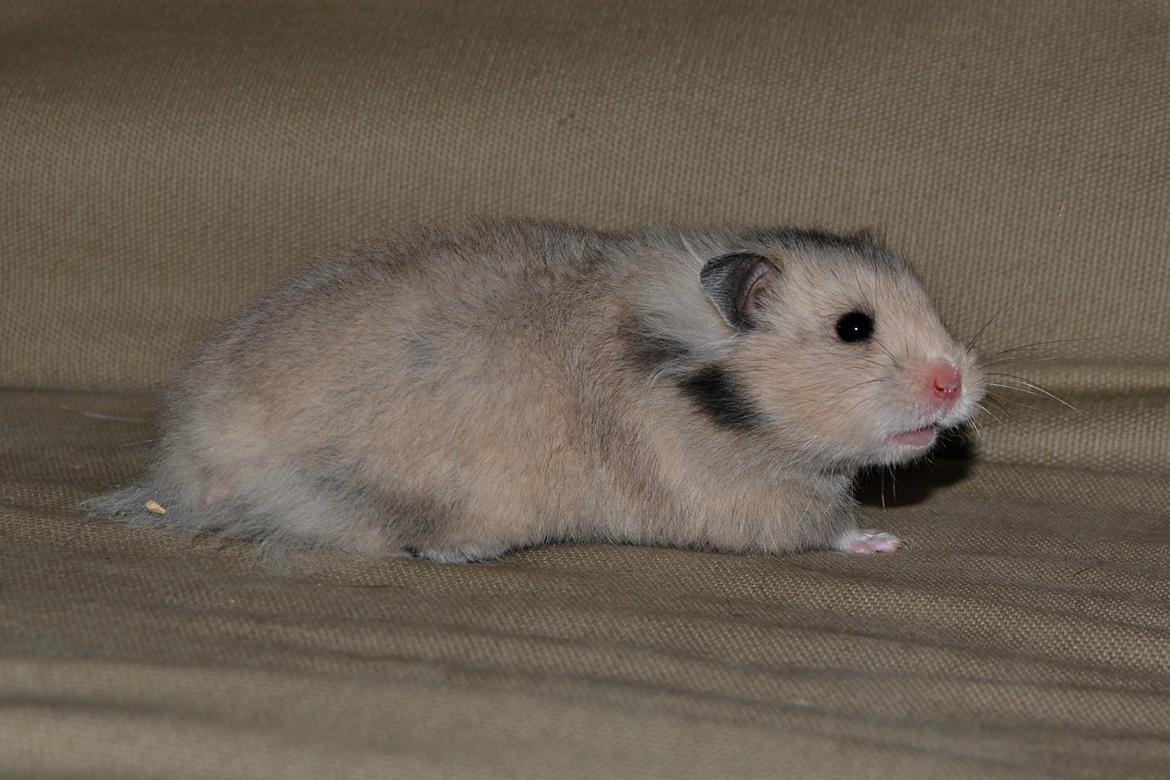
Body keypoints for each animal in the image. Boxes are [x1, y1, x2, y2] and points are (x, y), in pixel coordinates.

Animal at [87, 218, 985, 562]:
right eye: (853, 329)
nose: (956, 385)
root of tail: (185, 470)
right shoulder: (747, 501)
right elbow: (828, 527)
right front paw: (882, 541)